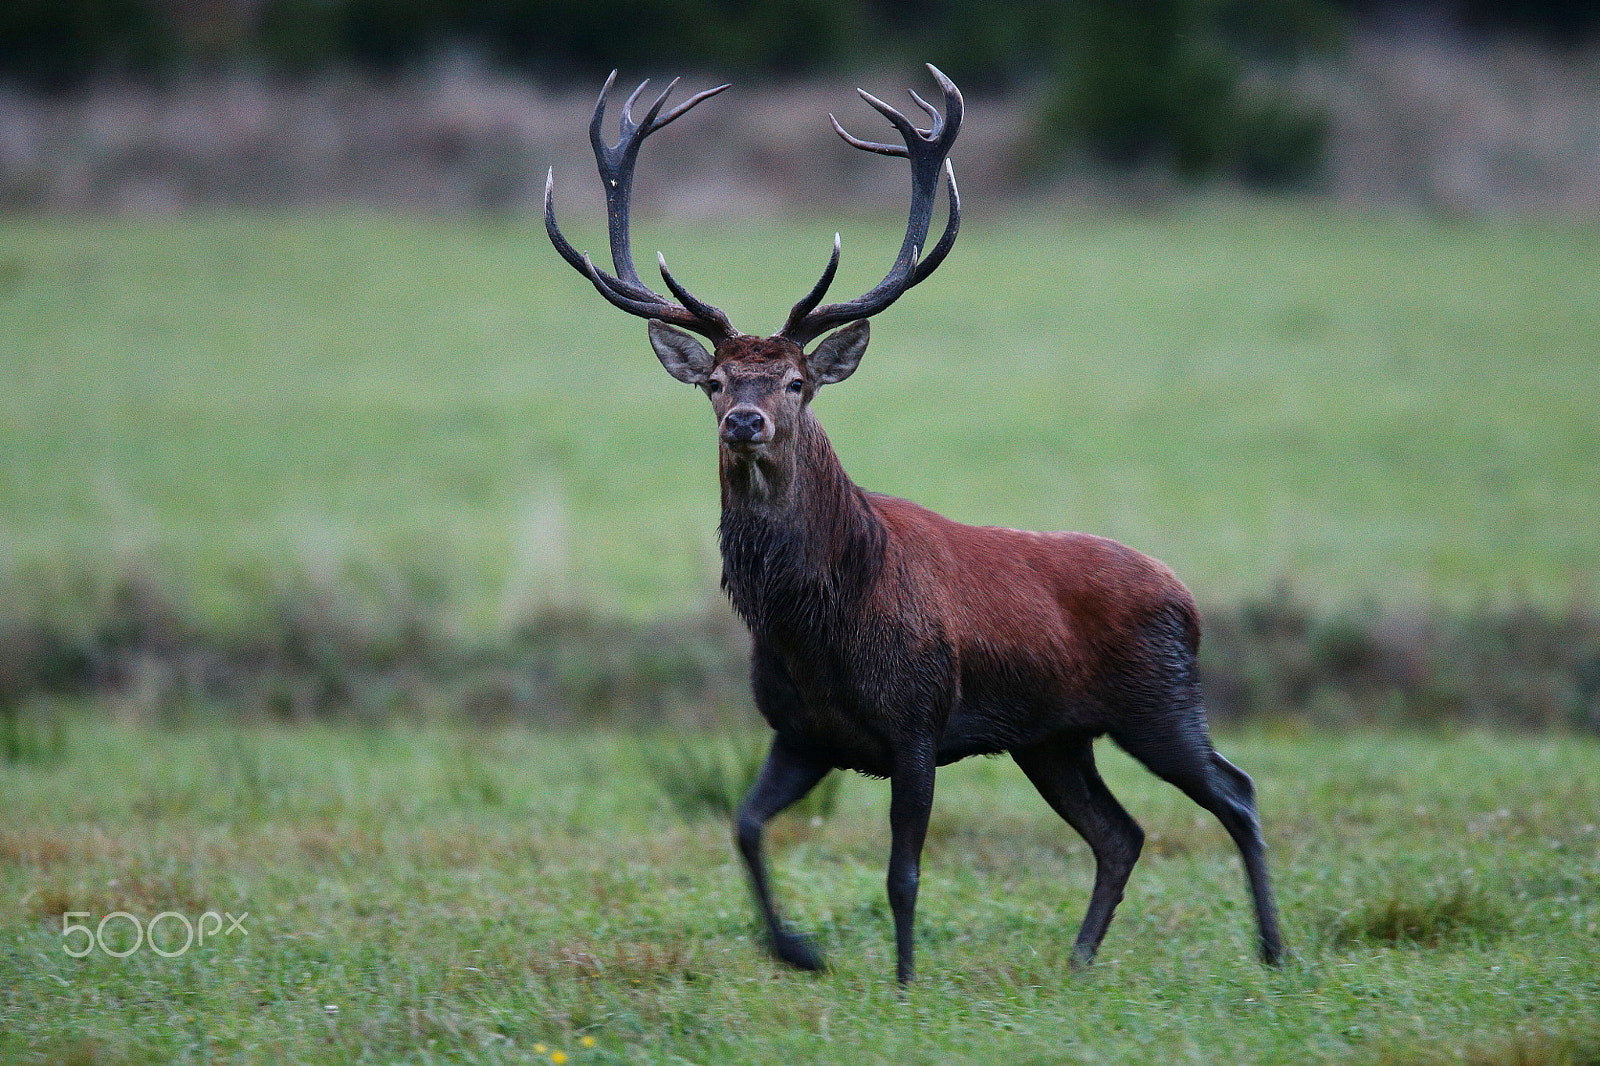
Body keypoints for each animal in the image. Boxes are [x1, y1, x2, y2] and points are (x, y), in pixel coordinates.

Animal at [544, 65, 1285, 984]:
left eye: (796, 383)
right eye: (715, 382)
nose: (745, 422)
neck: (814, 622)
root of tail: (1187, 598)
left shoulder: (918, 721)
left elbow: (903, 871)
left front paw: (901, 982)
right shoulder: (802, 732)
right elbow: (744, 825)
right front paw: (798, 949)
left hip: (1160, 701)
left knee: (1235, 790)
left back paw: (1273, 950)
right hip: (1054, 737)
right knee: (1121, 832)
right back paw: (1079, 961)